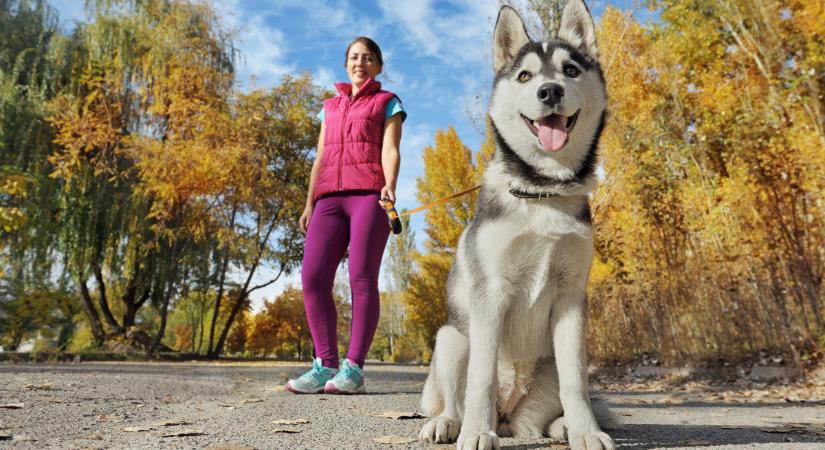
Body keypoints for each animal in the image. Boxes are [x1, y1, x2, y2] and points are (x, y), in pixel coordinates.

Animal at [418, 0, 612, 450]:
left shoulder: (571, 298)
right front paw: (476, 432)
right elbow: (482, 378)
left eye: (570, 70)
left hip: (548, 365)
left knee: (538, 421)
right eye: (525, 75)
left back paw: (563, 427)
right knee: (457, 397)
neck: (542, 191)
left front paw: (587, 431)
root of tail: (509, 413)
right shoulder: (491, 294)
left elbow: (577, 383)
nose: (550, 91)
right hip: (452, 339)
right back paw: (450, 423)